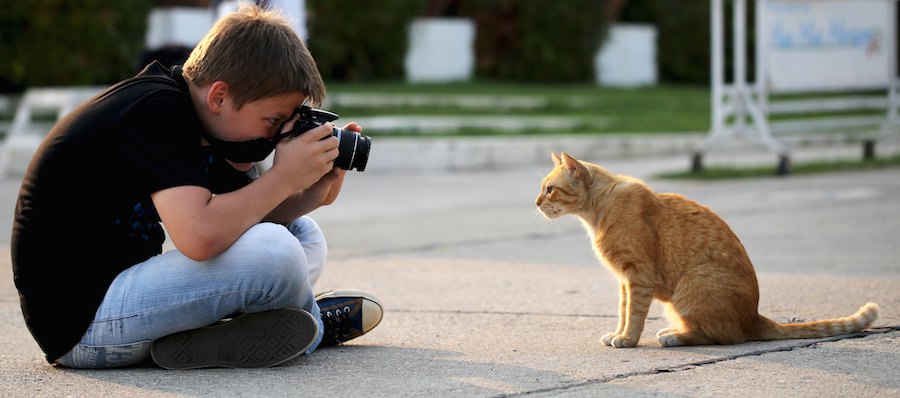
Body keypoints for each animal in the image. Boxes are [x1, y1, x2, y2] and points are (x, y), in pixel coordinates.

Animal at [536, 152, 880, 348]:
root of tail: (754, 317)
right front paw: (617, 333)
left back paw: (673, 337)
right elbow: (623, 311)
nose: (536, 203)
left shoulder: (638, 277)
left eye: (549, 189)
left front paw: (628, 340)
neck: (598, 213)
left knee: (723, 336)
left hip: (692, 287)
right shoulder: (624, 281)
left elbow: (634, 314)